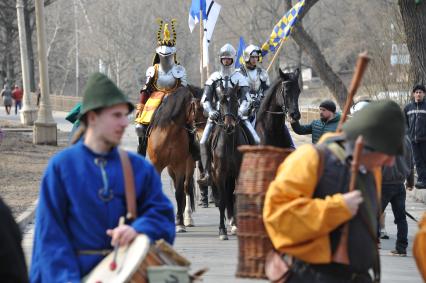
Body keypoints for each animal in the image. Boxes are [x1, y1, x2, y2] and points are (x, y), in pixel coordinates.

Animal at [147, 86, 197, 233]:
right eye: (197, 107)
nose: (195, 130)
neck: (168, 133)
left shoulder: (180, 165)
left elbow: (179, 192)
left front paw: (180, 223)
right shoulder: (157, 164)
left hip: (188, 165)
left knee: (186, 187)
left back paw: (187, 218)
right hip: (170, 168)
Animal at [208, 83, 248, 241]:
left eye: (236, 102)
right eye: (221, 102)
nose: (229, 126)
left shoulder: (237, 172)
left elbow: (235, 196)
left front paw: (236, 226)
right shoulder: (220, 174)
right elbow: (222, 201)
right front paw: (222, 230)